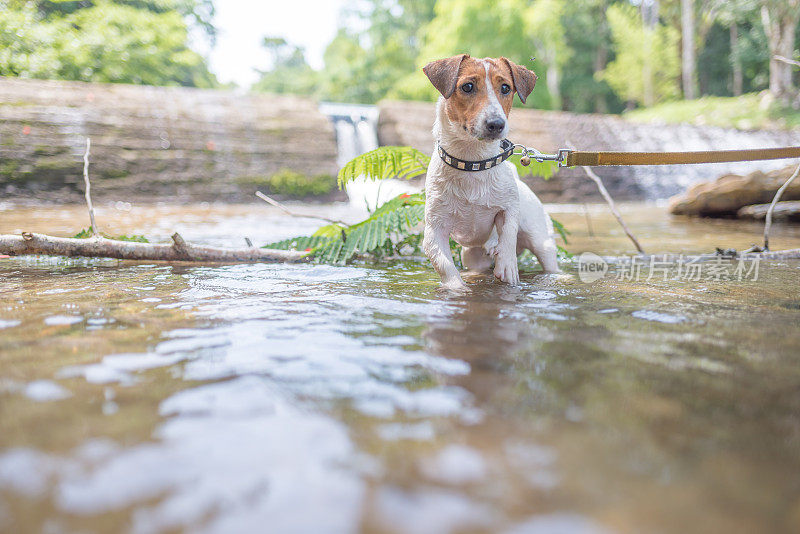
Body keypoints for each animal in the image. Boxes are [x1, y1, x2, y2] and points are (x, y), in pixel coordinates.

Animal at [422, 53, 560, 294]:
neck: (473, 162)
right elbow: (445, 266)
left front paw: (507, 265)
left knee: (548, 262)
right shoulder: (434, 230)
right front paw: (459, 289)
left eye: (505, 88)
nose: (496, 124)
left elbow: (508, 234)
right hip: (472, 257)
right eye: (467, 86)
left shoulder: (509, 209)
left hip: (541, 241)